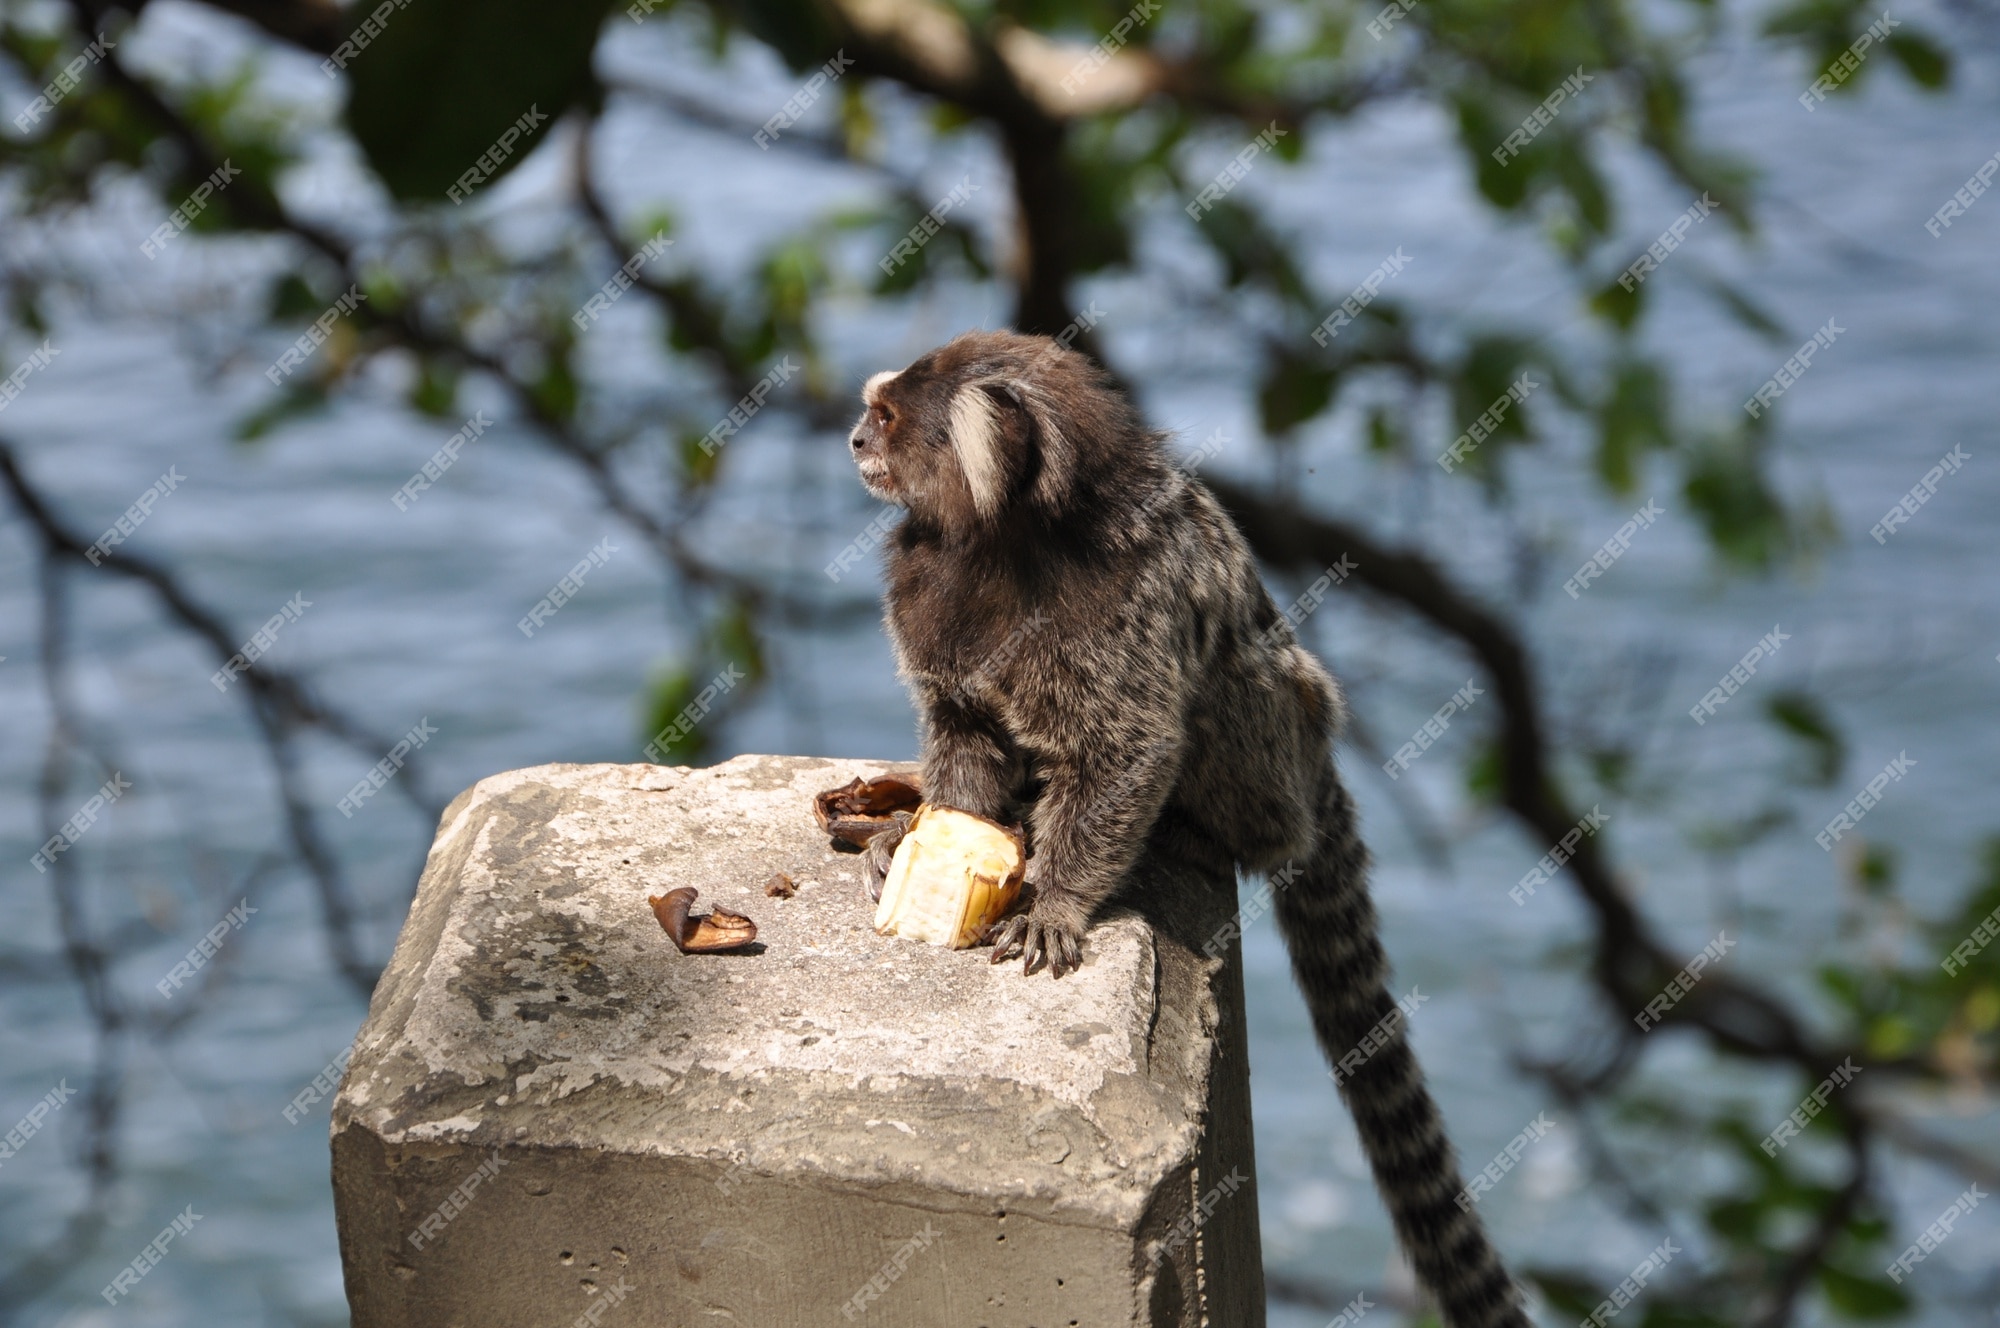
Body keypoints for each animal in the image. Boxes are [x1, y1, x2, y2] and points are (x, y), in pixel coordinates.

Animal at [848, 326, 1528, 1320]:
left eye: (888, 418)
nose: (856, 440)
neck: (1008, 546)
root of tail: (1319, 764)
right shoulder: (927, 601)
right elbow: (964, 740)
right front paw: (928, 840)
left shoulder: (1123, 607)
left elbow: (1131, 748)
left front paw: (1055, 903)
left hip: (1281, 738)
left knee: (1231, 688)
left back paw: (1200, 834)